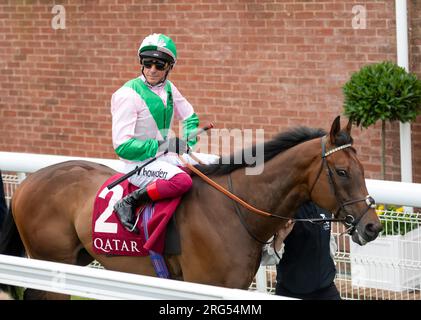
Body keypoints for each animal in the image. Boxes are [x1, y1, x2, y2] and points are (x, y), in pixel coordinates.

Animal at [0, 116, 380, 298]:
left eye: (363, 169)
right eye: (342, 172)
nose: (372, 226)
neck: (234, 211)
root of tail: (26, 185)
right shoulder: (204, 284)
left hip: (75, 258)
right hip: (52, 261)